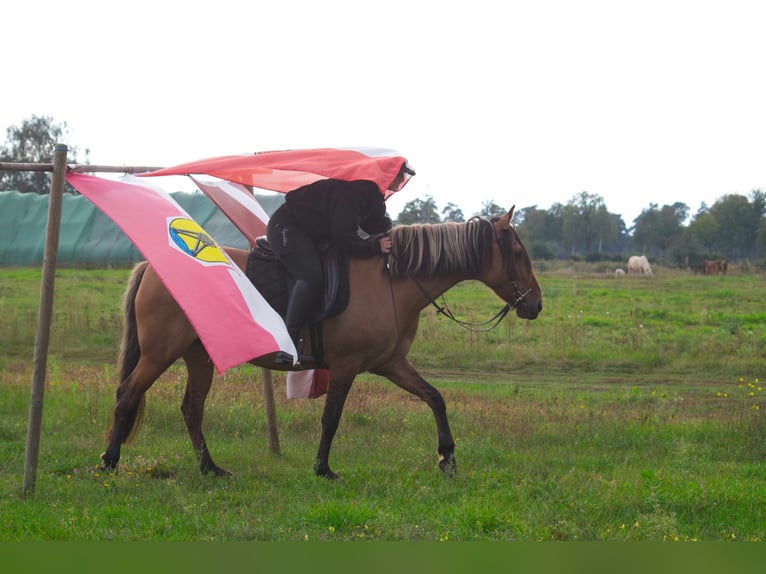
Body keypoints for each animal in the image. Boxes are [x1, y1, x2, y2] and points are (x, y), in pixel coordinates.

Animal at [102, 209, 544, 480]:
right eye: (517, 252)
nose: (535, 304)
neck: (392, 281)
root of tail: (153, 267)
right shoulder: (347, 366)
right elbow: (331, 417)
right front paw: (323, 468)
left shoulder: (392, 363)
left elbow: (435, 398)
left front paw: (447, 458)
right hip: (161, 352)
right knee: (127, 395)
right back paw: (108, 462)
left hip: (199, 356)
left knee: (191, 409)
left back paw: (211, 469)